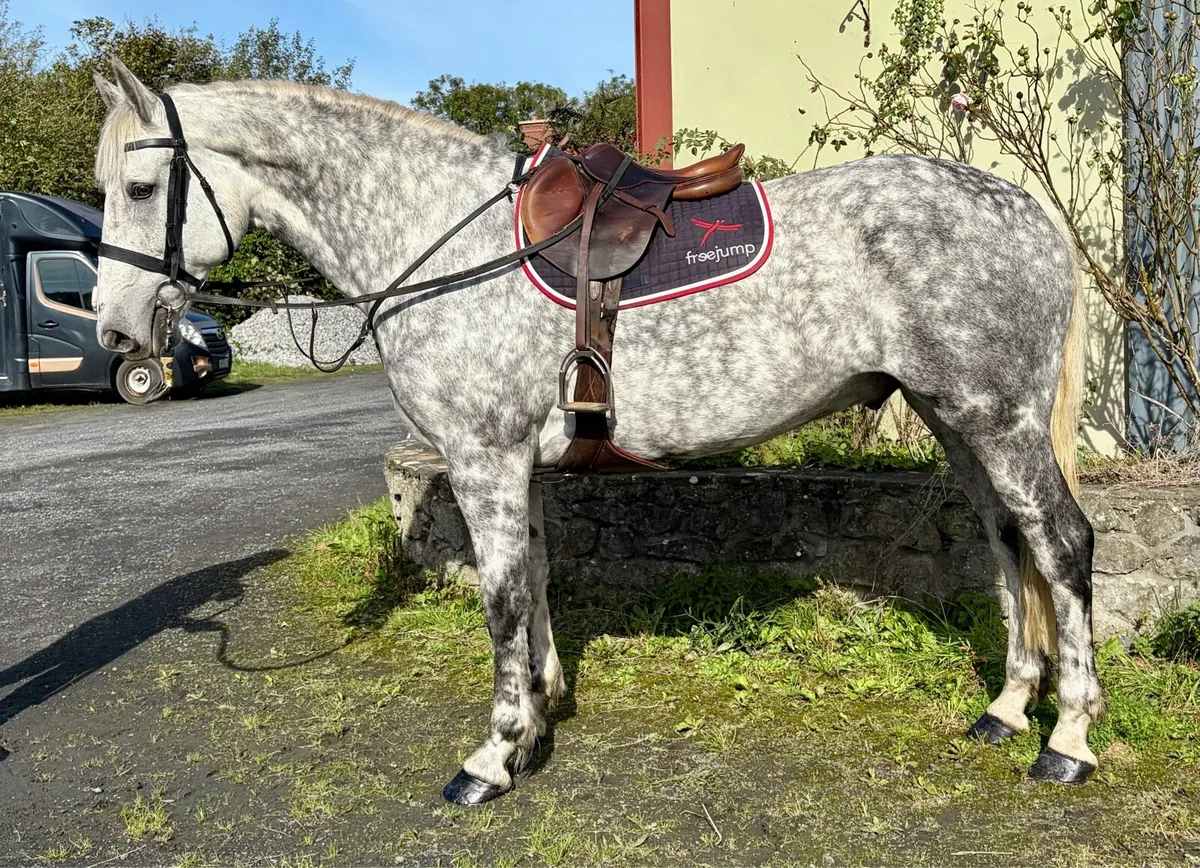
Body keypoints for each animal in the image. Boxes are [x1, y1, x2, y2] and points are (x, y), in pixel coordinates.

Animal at [89, 58, 1101, 805]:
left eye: (139, 186)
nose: (114, 329)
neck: (450, 245)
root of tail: (1027, 210)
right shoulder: (518, 468)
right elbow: (535, 581)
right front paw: (541, 712)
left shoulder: (482, 460)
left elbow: (500, 601)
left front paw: (493, 755)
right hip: (957, 419)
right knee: (1006, 540)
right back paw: (1008, 706)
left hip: (997, 418)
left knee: (1062, 541)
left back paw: (1068, 737)